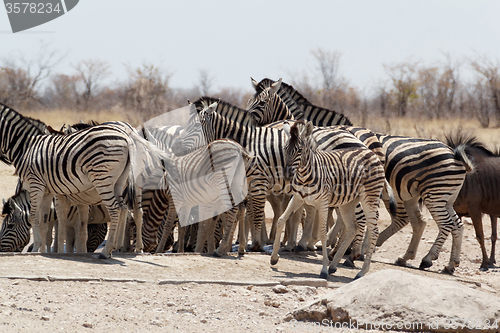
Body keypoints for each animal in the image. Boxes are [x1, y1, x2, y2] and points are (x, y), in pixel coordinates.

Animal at [0, 102, 143, 258]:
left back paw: (108, 251)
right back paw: (117, 246)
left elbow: (33, 217)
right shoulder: (47, 190)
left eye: (10, 226)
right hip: (119, 181)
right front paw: (41, 250)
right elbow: (44, 222)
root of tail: (126, 137)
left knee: (117, 209)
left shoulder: (35, 184)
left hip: (103, 179)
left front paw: (36, 247)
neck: (26, 148)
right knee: (124, 209)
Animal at [270, 120, 390, 278]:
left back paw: (361, 271)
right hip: (348, 202)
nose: (287, 174)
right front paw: (274, 257)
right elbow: (281, 220)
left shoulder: (322, 202)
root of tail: (371, 152)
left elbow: (322, 232)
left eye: (300, 150)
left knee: (373, 230)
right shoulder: (297, 198)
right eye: (285, 148)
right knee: (352, 228)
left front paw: (324, 269)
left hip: (369, 197)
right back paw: (334, 265)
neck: (304, 175)